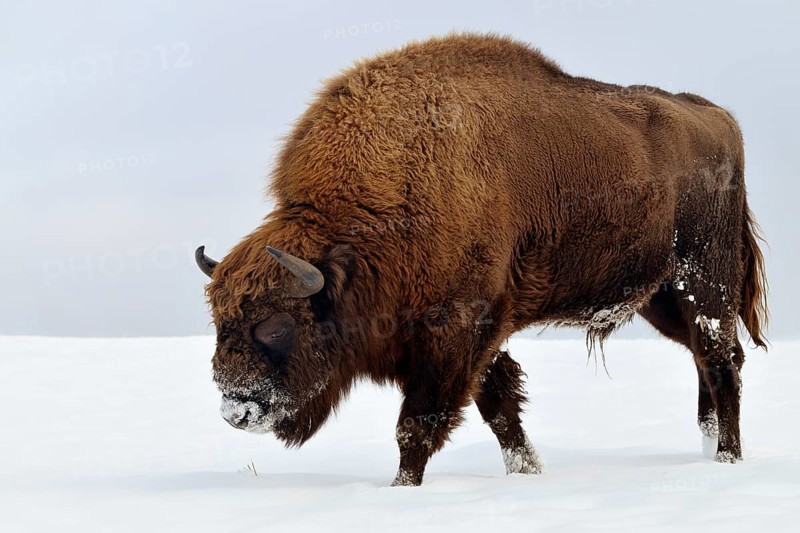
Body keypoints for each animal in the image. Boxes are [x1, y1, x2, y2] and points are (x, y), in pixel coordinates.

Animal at [196, 33, 767, 486]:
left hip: (703, 279)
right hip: (661, 296)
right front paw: (528, 472)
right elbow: (500, 408)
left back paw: (728, 460)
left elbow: (418, 424)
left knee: (722, 361)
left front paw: (401, 489)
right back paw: (710, 450)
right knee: (705, 358)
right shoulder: (481, 333)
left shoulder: (455, 332)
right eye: (219, 321)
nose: (235, 410)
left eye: (275, 326)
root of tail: (720, 119)